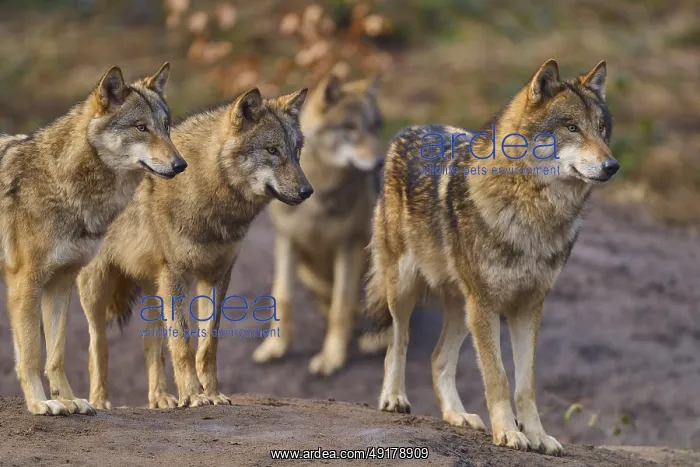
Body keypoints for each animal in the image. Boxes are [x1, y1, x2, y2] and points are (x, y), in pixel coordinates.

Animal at [0, 63, 186, 415]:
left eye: (166, 127)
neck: (63, 184)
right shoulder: (25, 283)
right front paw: (40, 403)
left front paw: (68, 399)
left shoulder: (61, 282)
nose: (180, 164)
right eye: (141, 128)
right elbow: (31, 354)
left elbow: (56, 355)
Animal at [77, 87, 312, 409]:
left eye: (297, 151)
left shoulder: (216, 275)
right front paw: (193, 395)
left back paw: (161, 398)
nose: (307, 191)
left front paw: (211, 393)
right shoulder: (176, 275)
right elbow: (183, 343)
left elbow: (208, 343)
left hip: (153, 289)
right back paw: (99, 403)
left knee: (151, 343)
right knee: (96, 347)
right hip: (98, 289)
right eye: (272, 150)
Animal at [252, 74, 387, 375]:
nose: (379, 162)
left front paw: (331, 358)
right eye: (350, 127)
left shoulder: (348, 247)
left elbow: (340, 306)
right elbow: (283, 297)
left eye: (375, 127)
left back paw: (373, 338)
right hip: (307, 273)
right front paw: (275, 347)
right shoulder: (286, 242)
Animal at [365, 59, 617, 455]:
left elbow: (526, 384)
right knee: (397, 342)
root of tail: (408, 129)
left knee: (438, 358)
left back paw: (457, 416)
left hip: (461, 308)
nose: (612, 166)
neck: (534, 212)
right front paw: (509, 433)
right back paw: (393, 398)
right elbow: (498, 377)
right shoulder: (486, 304)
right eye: (572, 128)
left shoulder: (528, 306)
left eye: (602, 130)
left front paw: (537, 435)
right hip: (406, 289)